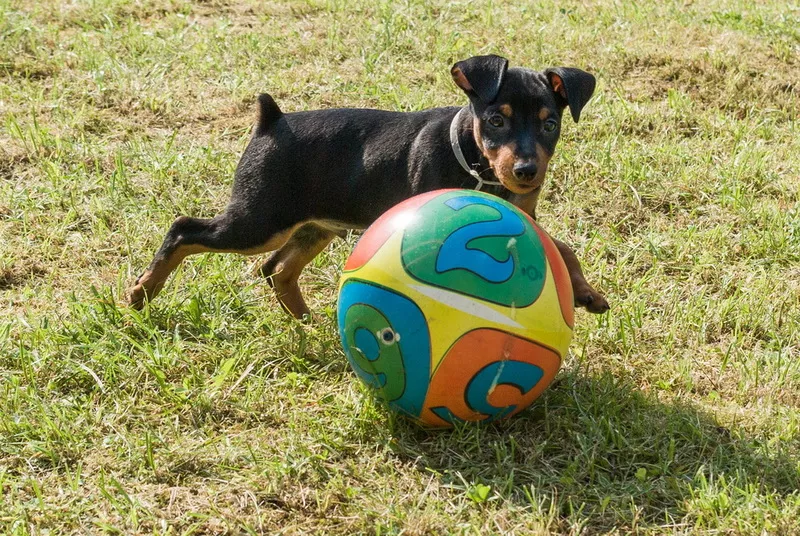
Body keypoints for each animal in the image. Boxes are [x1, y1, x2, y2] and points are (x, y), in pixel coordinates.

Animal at [128, 55, 608, 318]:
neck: (478, 168)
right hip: (259, 220)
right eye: (495, 120)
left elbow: (563, 248)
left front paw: (587, 293)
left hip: (314, 226)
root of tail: (271, 121)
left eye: (550, 124)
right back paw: (142, 292)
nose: (527, 171)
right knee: (185, 229)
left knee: (277, 270)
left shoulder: (524, 215)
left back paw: (307, 321)